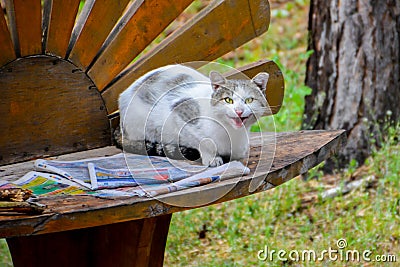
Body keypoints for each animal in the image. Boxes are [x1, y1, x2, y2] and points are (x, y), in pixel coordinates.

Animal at [119, 64, 268, 168]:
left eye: (249, 100)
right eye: (228, 100)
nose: (239, 111)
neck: (232, 133)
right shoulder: (180, 112)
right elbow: (202, 141)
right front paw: (212, 158)